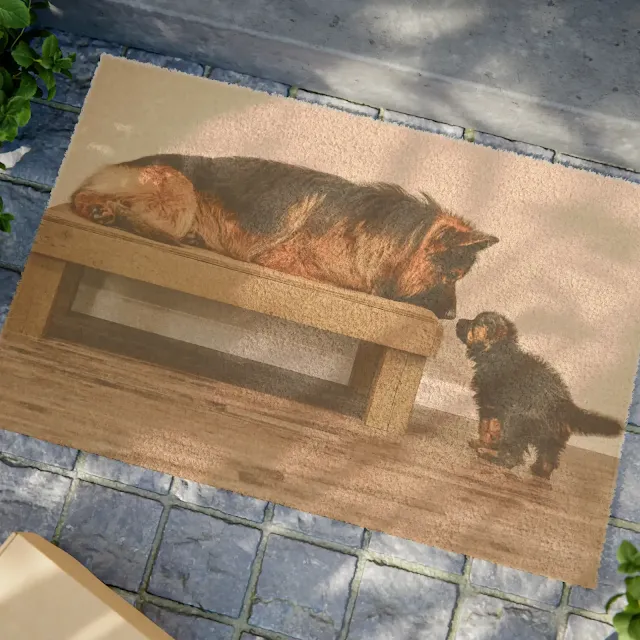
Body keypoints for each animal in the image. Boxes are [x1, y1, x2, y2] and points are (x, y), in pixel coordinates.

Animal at [70, 156, 500, 320]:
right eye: (452, 276)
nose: (452, 317)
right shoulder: (293, 262)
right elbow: (357, 284)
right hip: (179, 195)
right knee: (98, 202)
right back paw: (102, 211)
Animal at [458, 312, 624, 478]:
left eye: (474, 324)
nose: (459, 321)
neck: (499, 352)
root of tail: (564, 405)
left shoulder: (490, 405)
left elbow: (485, 428)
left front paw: (482, 444)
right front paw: (490, 444)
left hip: (516, 424)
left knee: (513, 455)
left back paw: (490, 456)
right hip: (550, 435)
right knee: (548, 456)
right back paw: (540, 471)